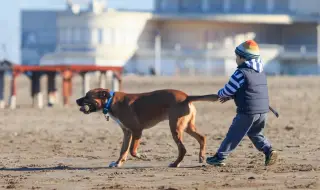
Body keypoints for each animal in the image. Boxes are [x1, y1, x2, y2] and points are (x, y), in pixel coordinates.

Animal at [76, 88, 219, 167]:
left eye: (87, 96)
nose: (76, 100)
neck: (110, 101)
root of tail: (186, 97)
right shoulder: (127, 132)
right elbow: (123, 150)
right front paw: (118, 163)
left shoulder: (137, 131)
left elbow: (132, 151)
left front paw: (142, 156)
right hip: (187, 127)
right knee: (202, 138)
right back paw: (201, 156)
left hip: (175, 128)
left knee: (183, 149)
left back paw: (175, 164)